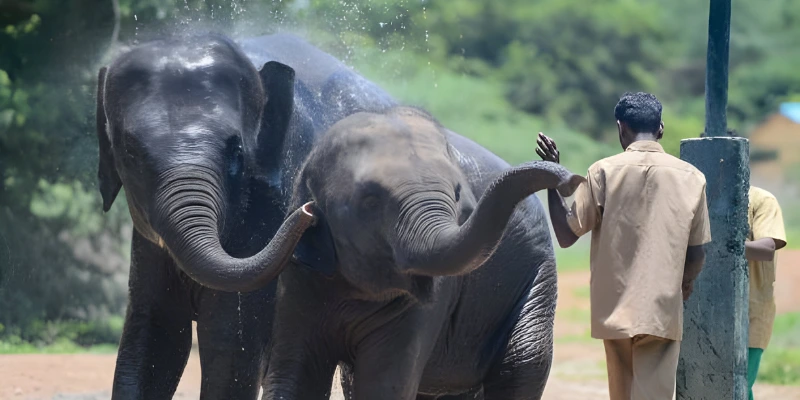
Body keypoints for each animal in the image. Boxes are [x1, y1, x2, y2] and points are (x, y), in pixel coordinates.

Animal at [96, 32, 396, 398]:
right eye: (130, 152)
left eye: (236, 150)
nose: (310, 211)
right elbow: (152, 334)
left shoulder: (271, 203)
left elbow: (230, 340)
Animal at [260, 104, 580, 398]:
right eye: (370, 200)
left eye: (457, 193)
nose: (570, 179)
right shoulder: (300, 270)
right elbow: (296, 376)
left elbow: (385, 384)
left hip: (536, 276)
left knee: (523, 360)